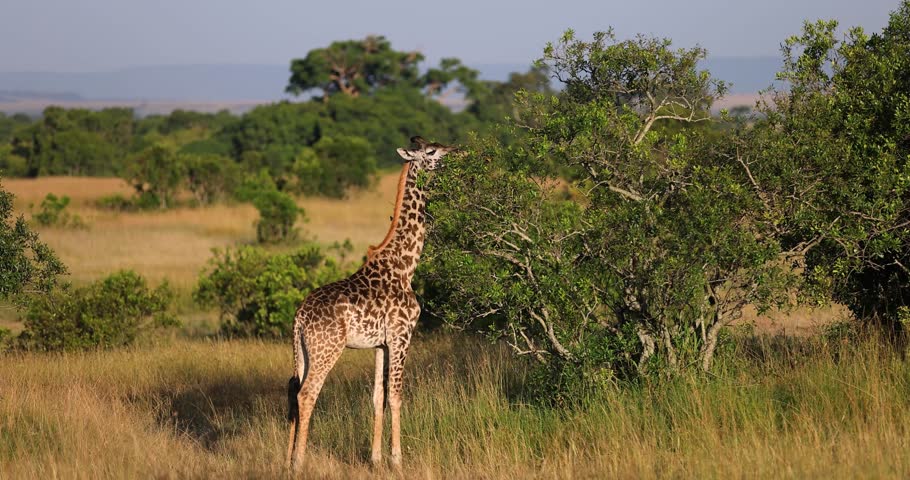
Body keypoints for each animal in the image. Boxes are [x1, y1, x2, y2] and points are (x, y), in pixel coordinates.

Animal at [286, 136, 456, 470]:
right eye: (432, 151)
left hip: (302, 351)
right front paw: (397, 459)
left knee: (293, 389)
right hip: (327, 349)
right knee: (307, 393)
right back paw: (299, 462)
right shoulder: (402, 335)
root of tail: (299, 317)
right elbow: (396, 396)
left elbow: (378, 396)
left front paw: (376, 459)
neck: (405, 266)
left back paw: (287, 460)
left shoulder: (381, 344)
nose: (457, 152)